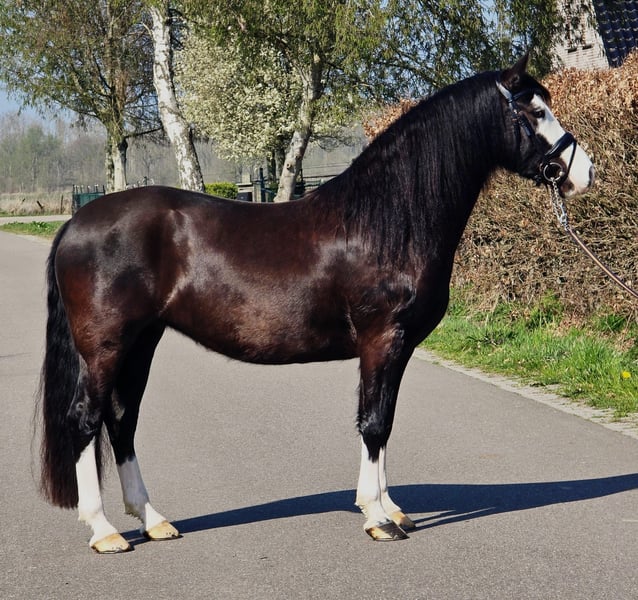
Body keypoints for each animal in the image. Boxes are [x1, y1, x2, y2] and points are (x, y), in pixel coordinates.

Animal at [38, 55, 594, 553]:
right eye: (535, 111)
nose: (582, 173)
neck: (387, 220)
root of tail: (76, 223)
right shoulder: (381, 340)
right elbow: (373, 422)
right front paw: (377, 518)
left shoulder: (397, 349)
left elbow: (384, 420)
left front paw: (391, 509)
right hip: (106, 348)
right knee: (86, 419)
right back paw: (105, 531)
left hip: (141, 343)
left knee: (121, 419)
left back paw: (153, 521)